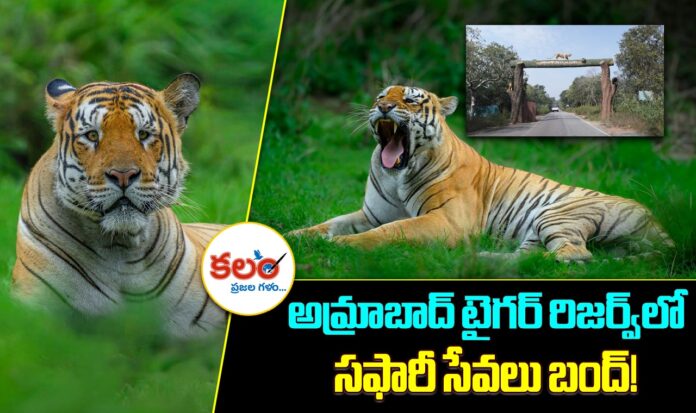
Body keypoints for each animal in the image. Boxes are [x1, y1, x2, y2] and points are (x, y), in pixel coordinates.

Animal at [288, 85, 674, 262]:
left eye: (410, 100)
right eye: (380, 96)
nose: (382, 107)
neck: (396, 174)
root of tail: (657, 220)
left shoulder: (447, 220)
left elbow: (392, 231)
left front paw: (343, 246)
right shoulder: (370, 214)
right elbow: (328, 223)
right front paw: (295, 236)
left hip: (556, 215)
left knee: (574, 255)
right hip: (537, 229)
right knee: (528, 256)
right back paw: (483, 258)